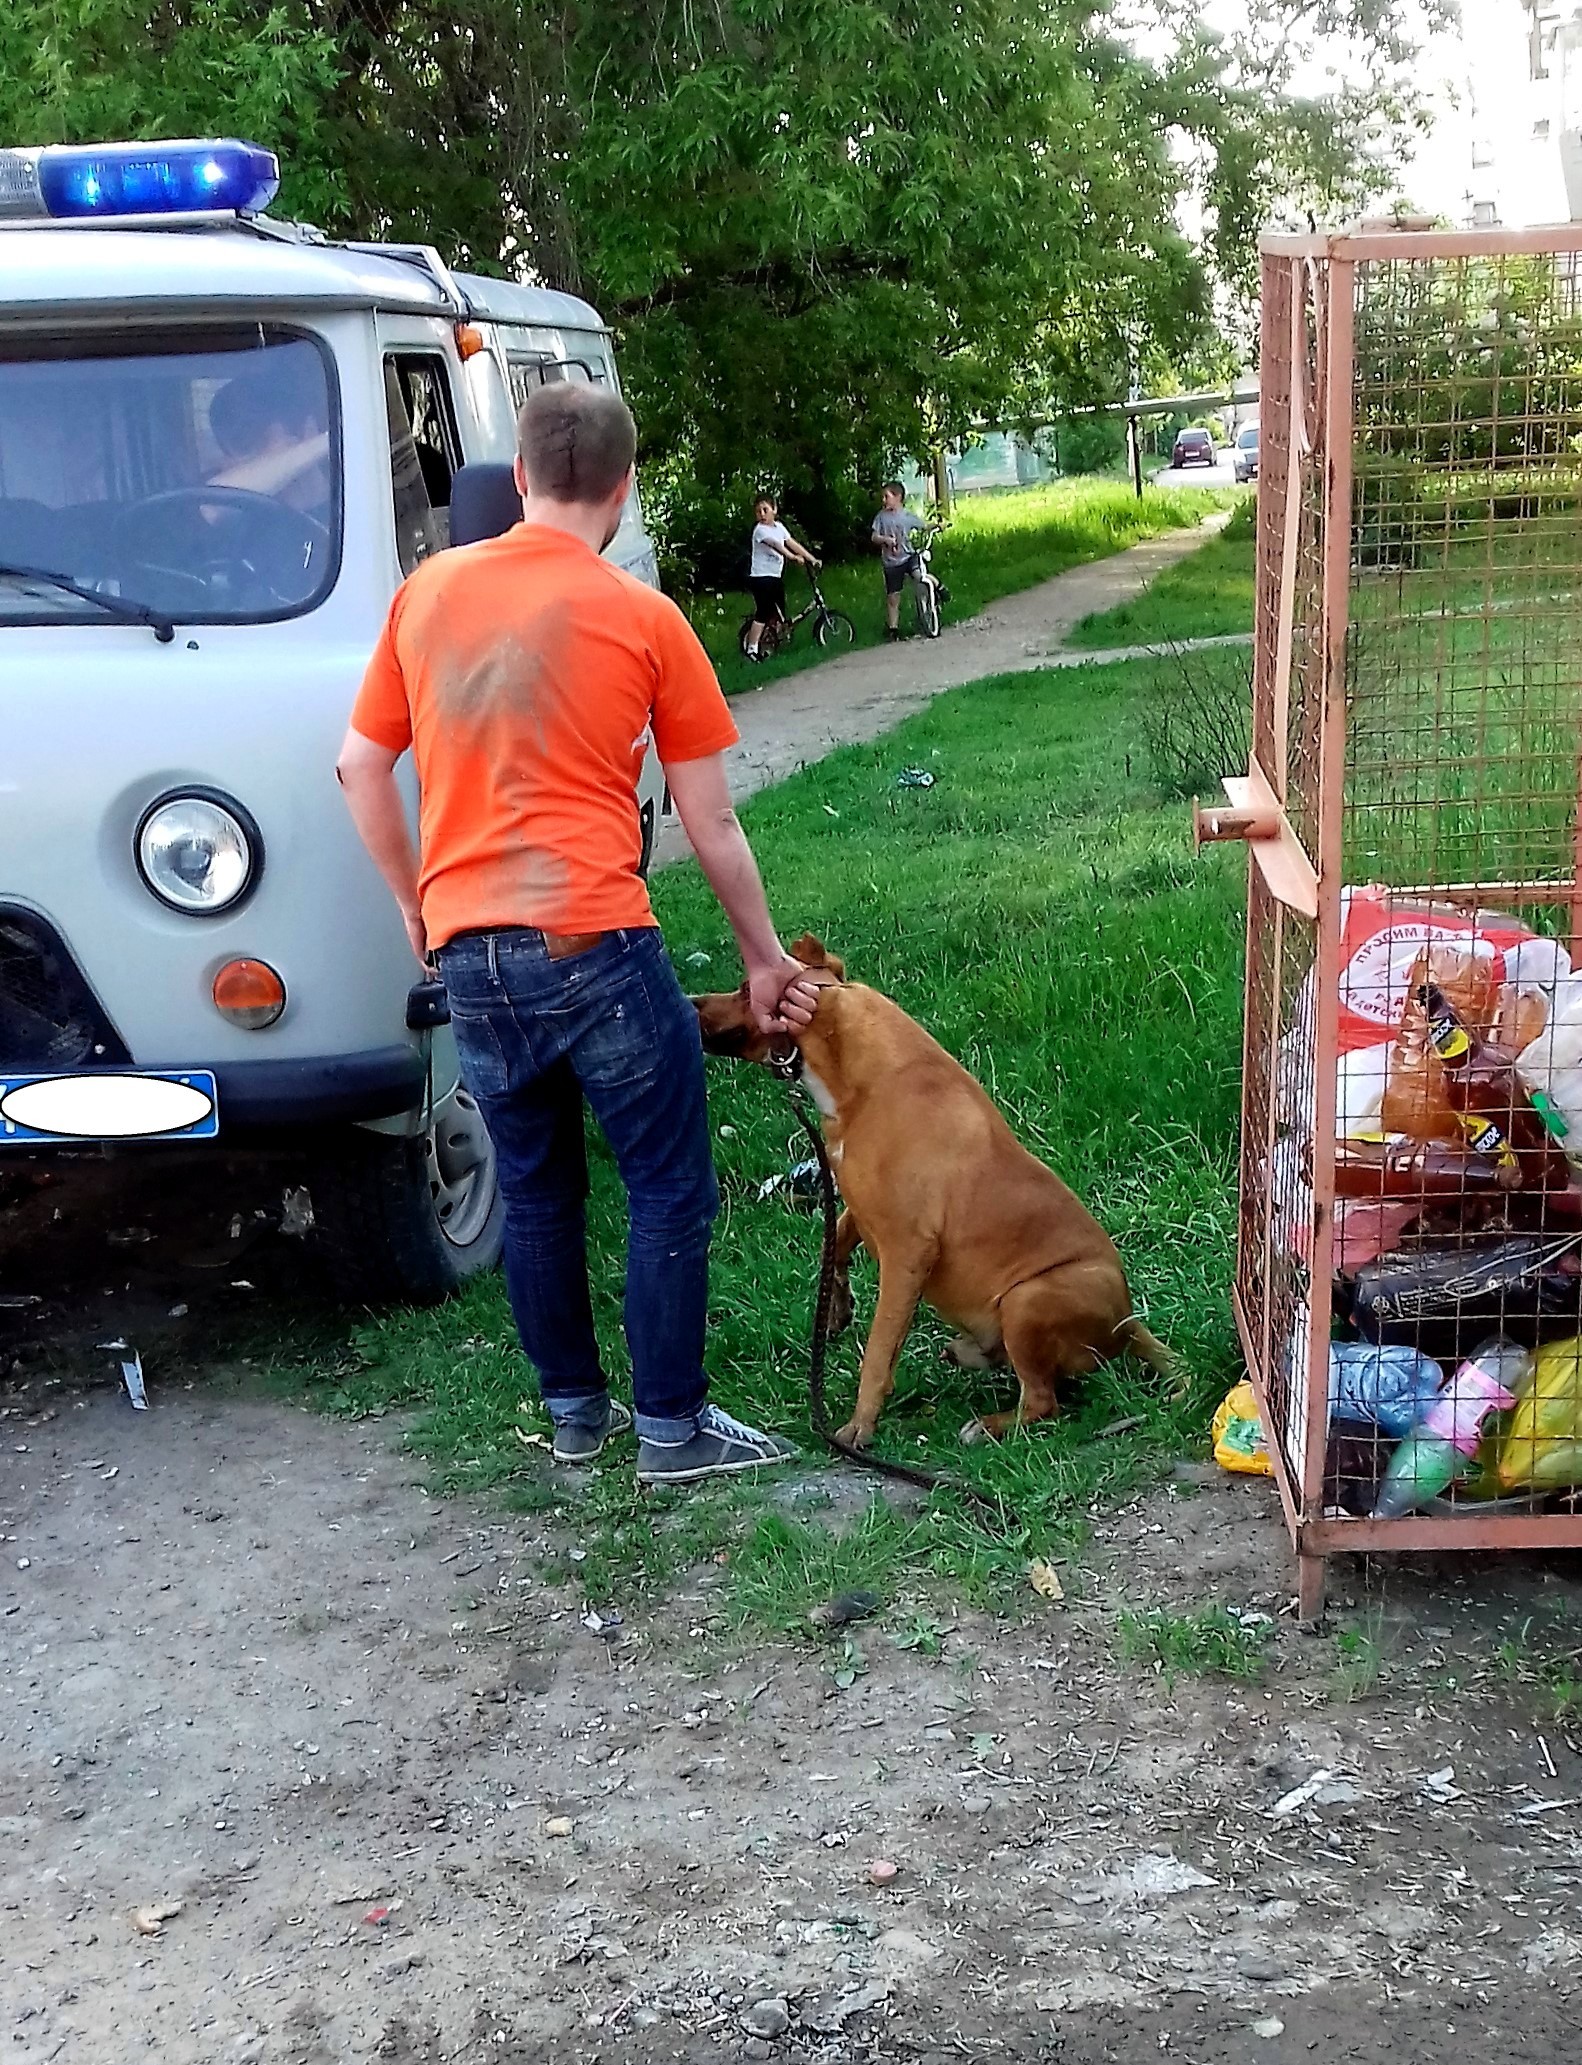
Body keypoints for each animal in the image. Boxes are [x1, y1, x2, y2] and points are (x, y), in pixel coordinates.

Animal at [698, 941, 1173, 1445]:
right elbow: (836, 1243)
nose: (691, 1004)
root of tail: (1129, 1323)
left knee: (1043, 1401)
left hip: (1027, 1298)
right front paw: (837, 1306)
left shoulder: (908, 1250)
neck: (853, 1074)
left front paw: (860, 1425)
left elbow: (879, 1350)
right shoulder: (859, 1204)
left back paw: (988, 1424)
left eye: (746, 988)